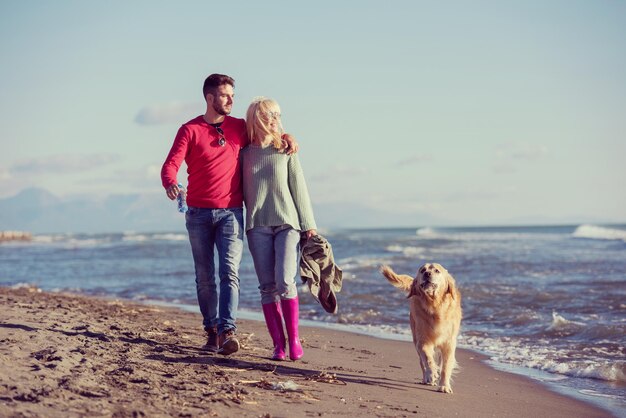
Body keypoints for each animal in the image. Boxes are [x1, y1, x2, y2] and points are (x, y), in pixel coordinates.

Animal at [378, 262, 460, 394]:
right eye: (422, 270)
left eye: (437, 271)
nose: (427, 274)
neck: (435, 306)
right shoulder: (422, 341)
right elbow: (427, 358)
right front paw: (432, 373)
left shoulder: (449, 343)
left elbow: (446, 366)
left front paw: (444, 386)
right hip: (415, 336)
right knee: (422, 361)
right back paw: (427, 378)